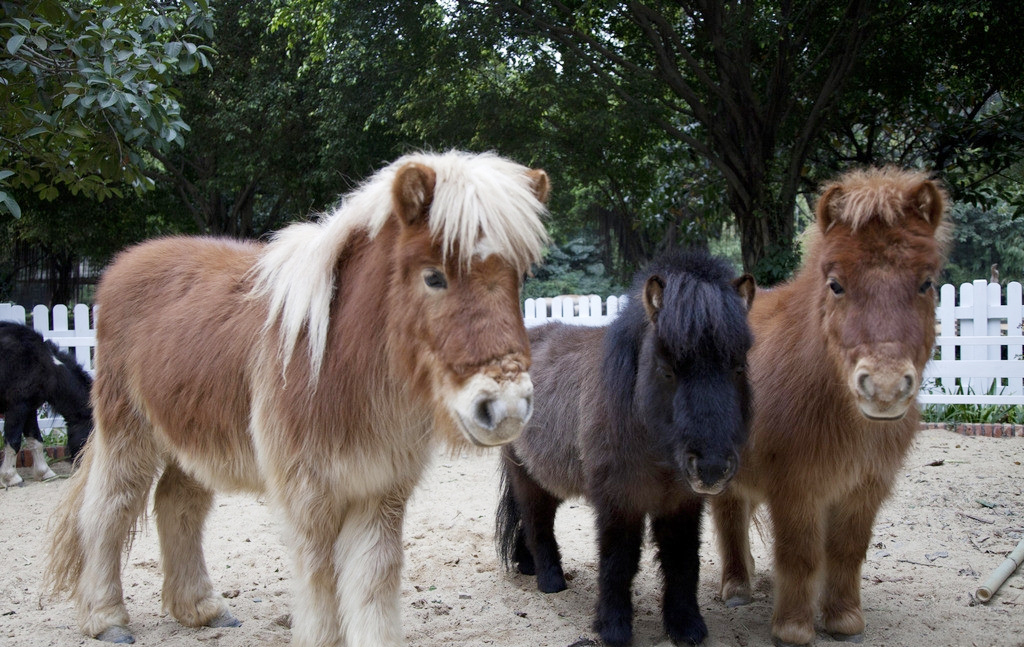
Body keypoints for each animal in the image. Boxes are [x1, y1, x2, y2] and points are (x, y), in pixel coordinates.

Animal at [0, 321, 93, 487]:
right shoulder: (17, 408)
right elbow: (13, 442)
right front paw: (11, 477)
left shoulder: (29, 409)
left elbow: (35, 440)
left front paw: (44, 472)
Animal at [46, 150, 552, 647]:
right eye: (433, 277)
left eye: (518, 278)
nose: (506, 409)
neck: (336, 363)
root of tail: (120, 267)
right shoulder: (311, 496)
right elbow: (322, 584)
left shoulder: (378, 492)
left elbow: (373, 582)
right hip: (128, 431)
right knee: (107, 511)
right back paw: (106, 619)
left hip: (191, 438)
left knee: (178, 503)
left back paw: (200, 609)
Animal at [499, 248, 757, 647]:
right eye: (667, 370)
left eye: (739, 367)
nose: (712, 468)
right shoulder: (618, 501)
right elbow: (618, 562)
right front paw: (614, 629)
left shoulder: (682, 503)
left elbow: (682, 559)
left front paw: (686, 627)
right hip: (525, 475)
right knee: (538, 521)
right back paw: (550, 581)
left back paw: (527, 566)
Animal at [712, 167, 950, 647]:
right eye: (836, 284)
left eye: (927, 282)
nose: (884, 389)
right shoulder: (796, 488)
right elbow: (800, 554)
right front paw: (794, 628)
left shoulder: (865, 488)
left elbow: (847, 551)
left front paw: (843, 619)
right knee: (728, 515)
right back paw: (737, 587)